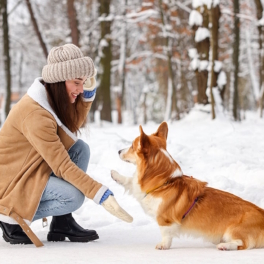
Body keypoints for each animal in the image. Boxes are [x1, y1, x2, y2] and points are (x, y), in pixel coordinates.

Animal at [111, 121, 264, 250]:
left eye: (132, 146)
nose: (118, 151)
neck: (165, 183)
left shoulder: (165, 220)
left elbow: (165, 234)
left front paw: (163, 245)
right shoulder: (138, 189)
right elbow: (129, 181)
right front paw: (114, 174)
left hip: (233, 231)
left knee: (242, 244)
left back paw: (224, 246)